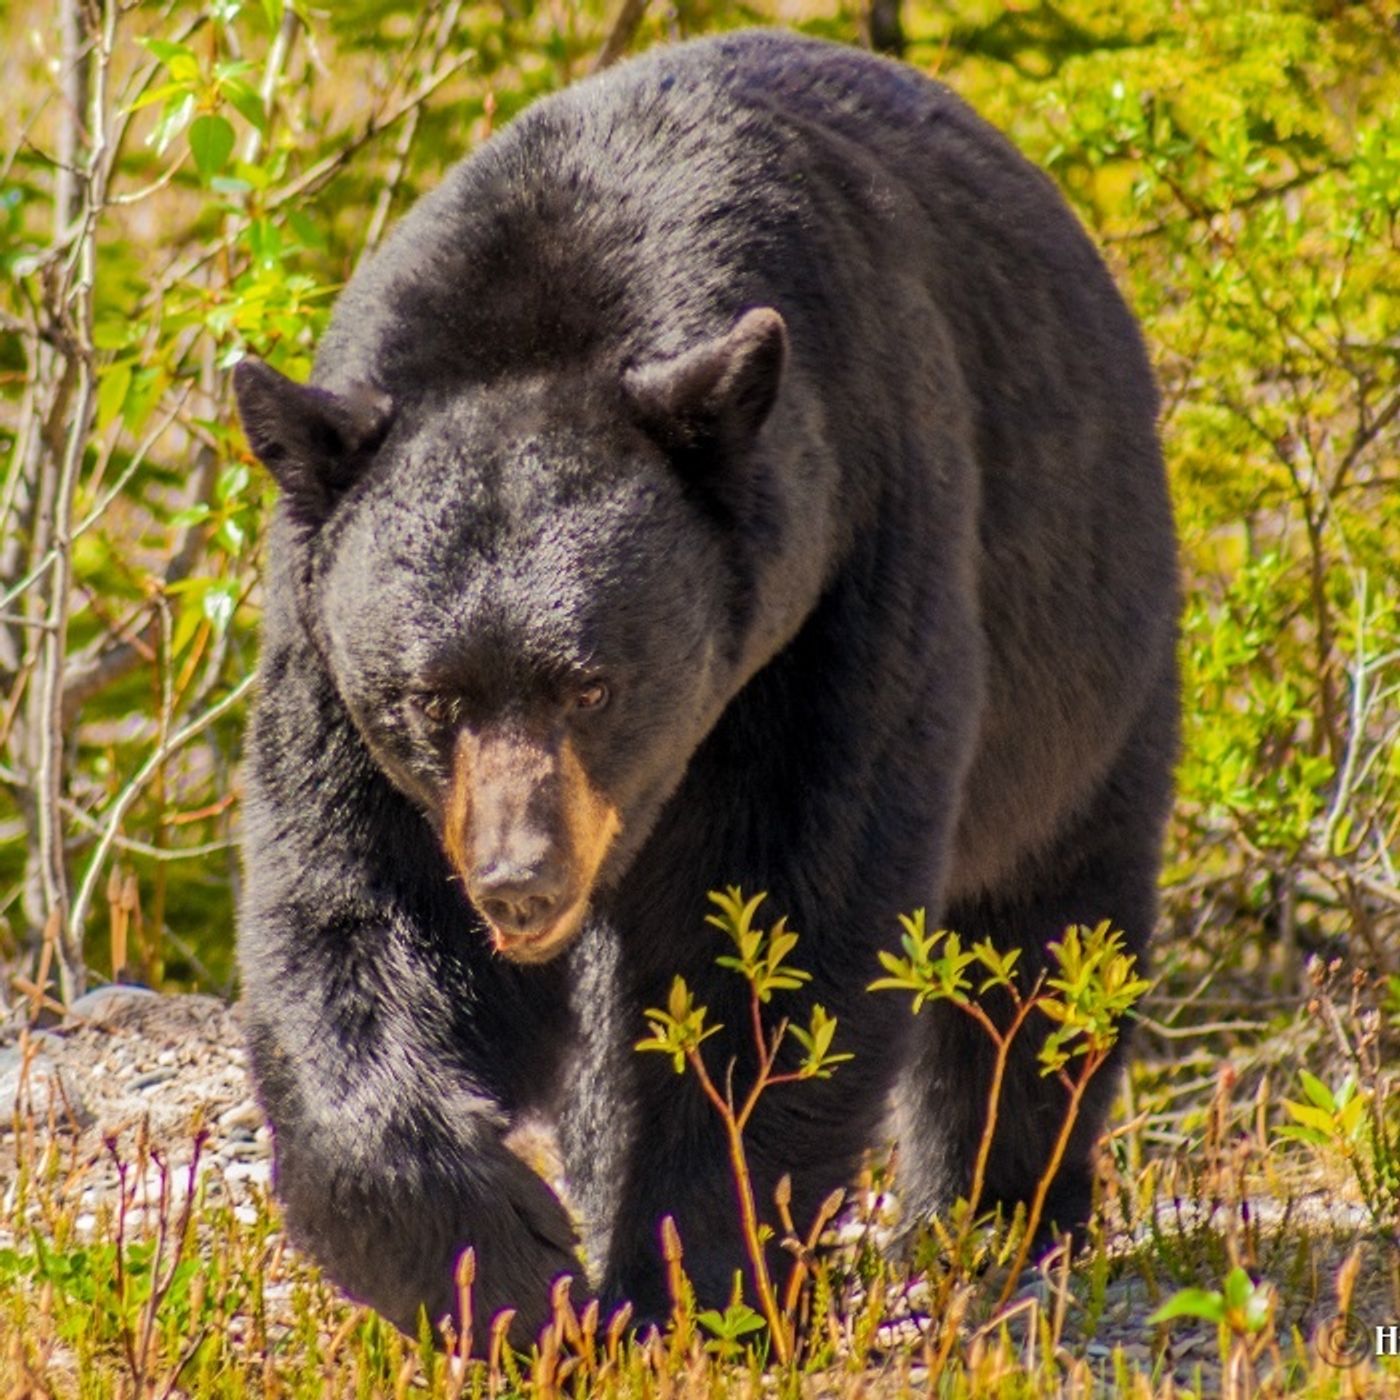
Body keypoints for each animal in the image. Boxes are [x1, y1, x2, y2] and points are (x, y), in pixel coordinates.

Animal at [232, 27, 1178, 1347]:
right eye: (430, 699)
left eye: (589, 685)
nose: (519, 880)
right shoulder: (327, 662)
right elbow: (352, 911)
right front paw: (508, 1264)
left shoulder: (839, 578)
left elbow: (778, 923)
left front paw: (684, 1282)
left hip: (1085, 650)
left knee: (1043, 939)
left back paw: (992, 1215)